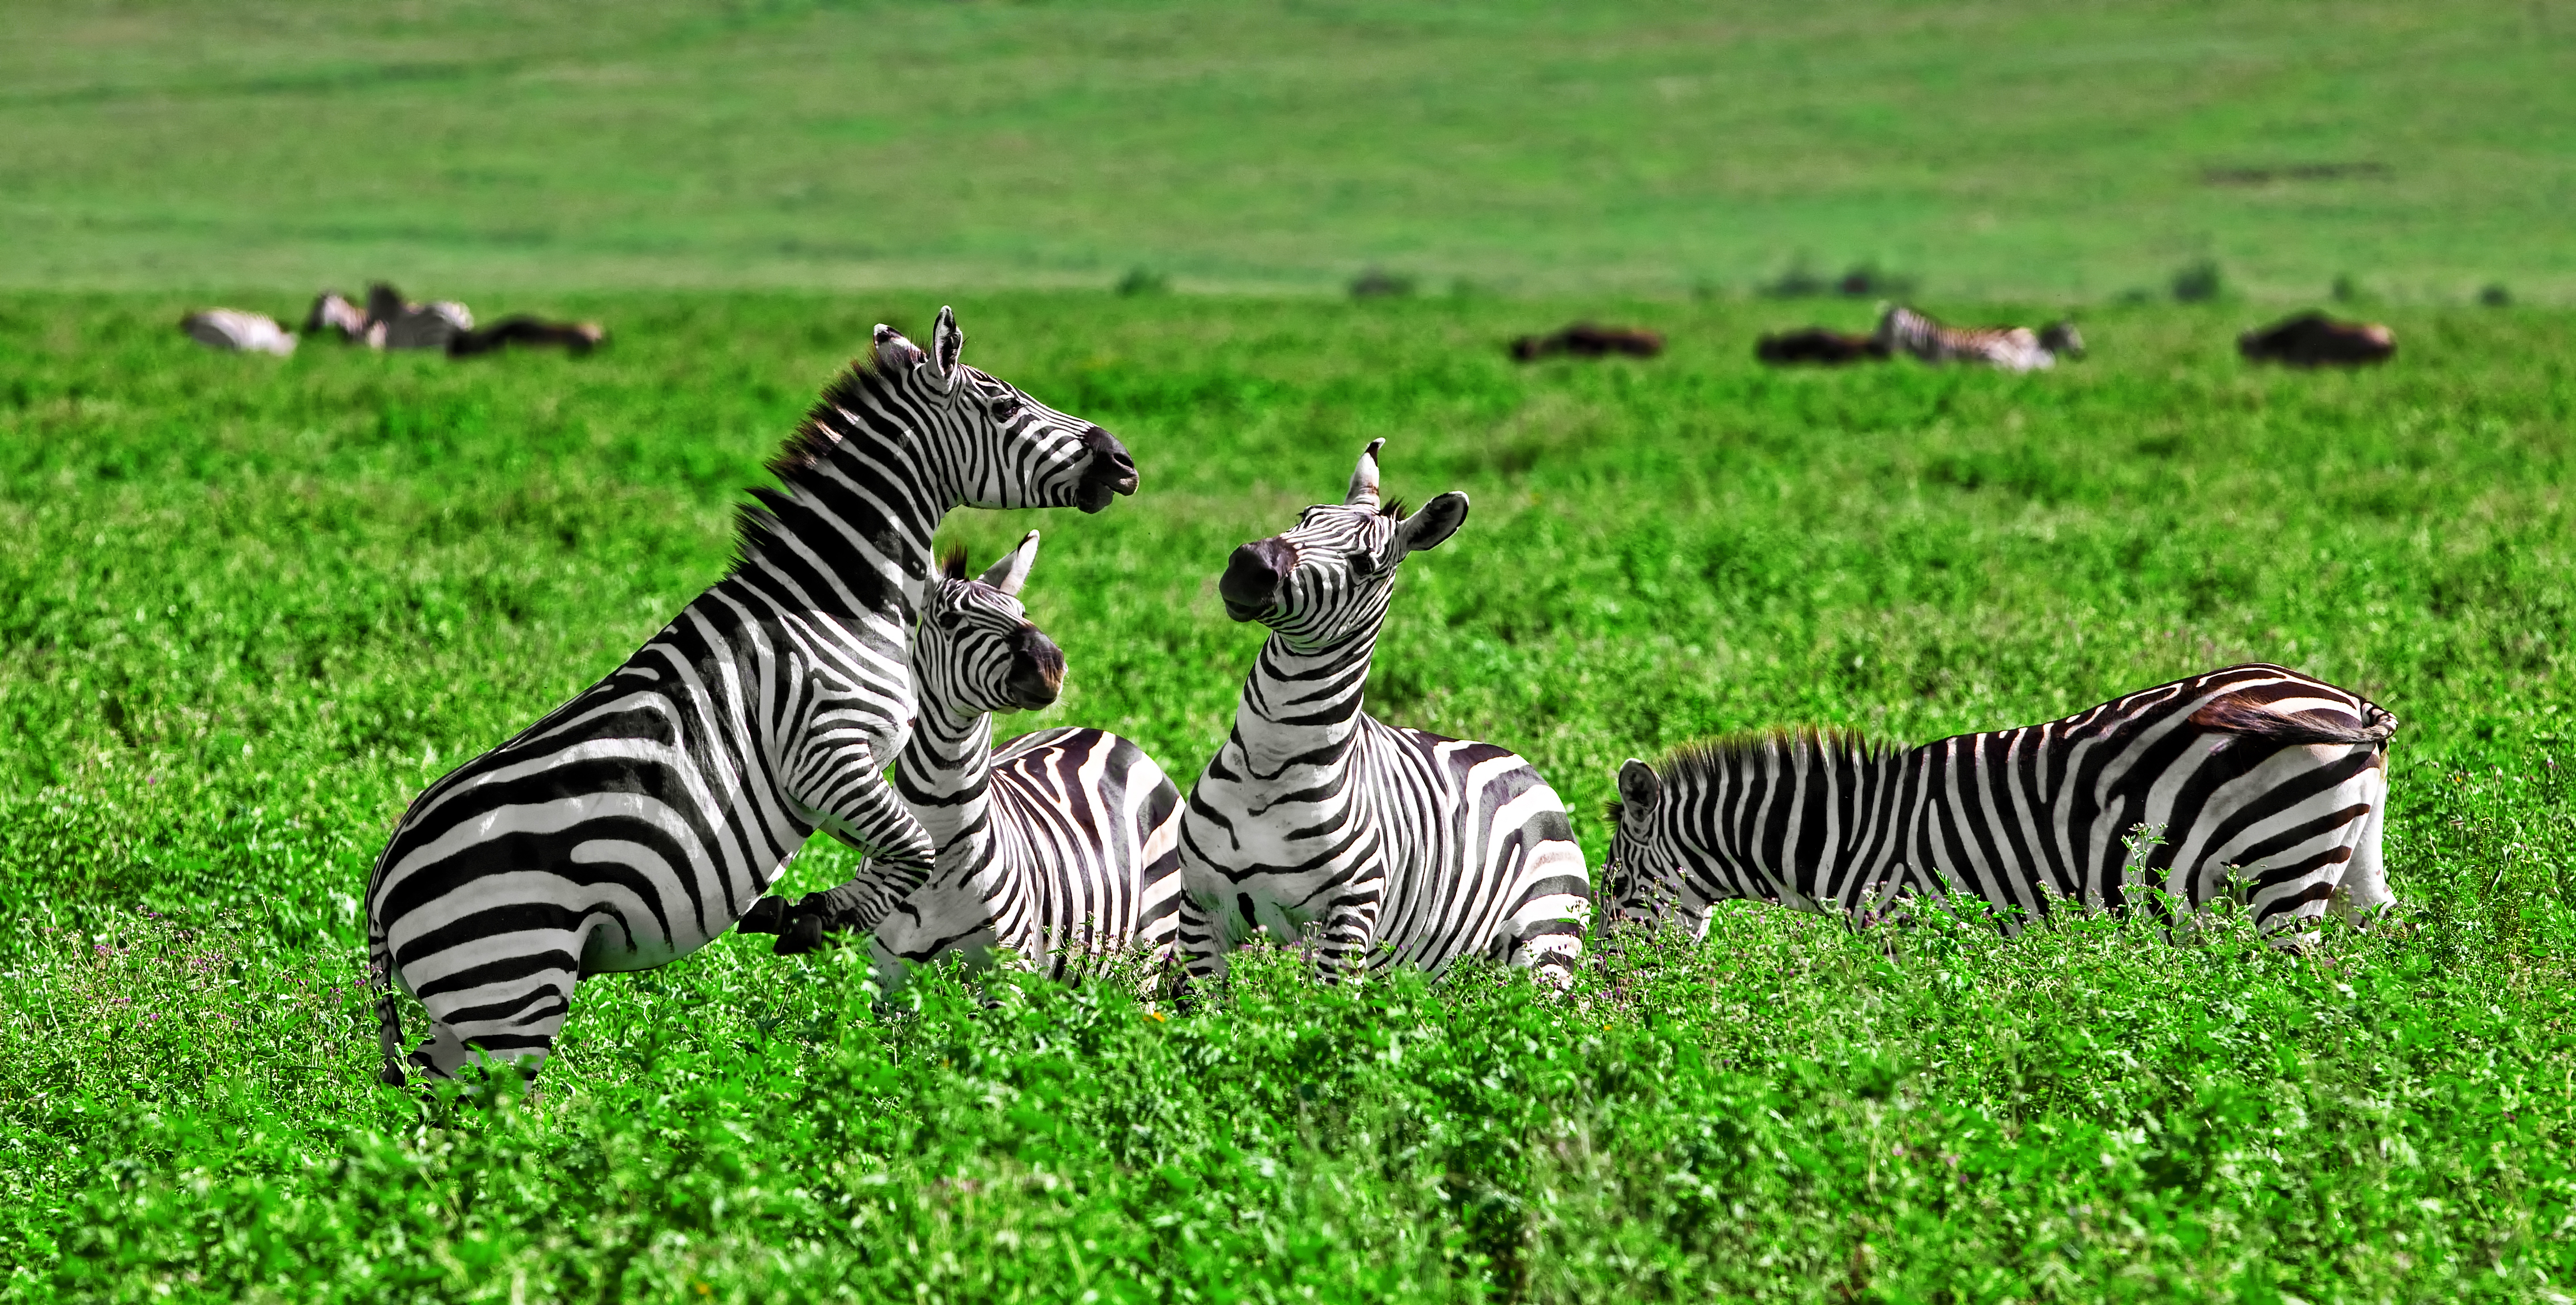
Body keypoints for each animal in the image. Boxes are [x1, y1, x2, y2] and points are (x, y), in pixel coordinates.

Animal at [363, 306, 1138, 1084]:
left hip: (469, 1012)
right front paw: (816, 916)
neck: (830, 601)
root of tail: (380, 880)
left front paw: (804, 913)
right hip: (510, 989)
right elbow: (914, 845)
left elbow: (904, 850)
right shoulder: (825, 752)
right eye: (1005, 405)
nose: (1123, 460)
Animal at [860, 530, 1184, 993]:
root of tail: (1097, 731)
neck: (942, 832)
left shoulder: (1009, 974)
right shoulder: (883, 982)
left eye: (1022, 613)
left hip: (1147, 953)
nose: (1050, 664)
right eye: (950, 621)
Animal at [1174, 440, 1590, 988]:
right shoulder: (1198, 909)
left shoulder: (1346, 923)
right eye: (1304, 517)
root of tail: (1524, 764)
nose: (1248, 565)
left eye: (1364, 564)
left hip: (1547, 945)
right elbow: (1200, 1008)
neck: (1269, 762)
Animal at [1601, 664, 2398, 950]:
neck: (1850, 833)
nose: (1609, 997)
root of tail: (2353, 703)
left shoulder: (1909, 926)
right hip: (2348, 861)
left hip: (2281, 874)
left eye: (1615, 889)